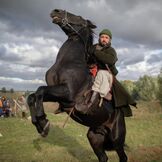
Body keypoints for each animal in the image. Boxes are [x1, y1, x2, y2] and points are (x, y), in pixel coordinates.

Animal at [27, 9, 128, 162]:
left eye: (79, 17)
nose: (56, 11)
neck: (69, 62)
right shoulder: (58, 95)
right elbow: (32, 97)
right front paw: (39, 124)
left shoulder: (68, 93)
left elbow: (40, 91)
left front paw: (43, 122)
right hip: (94, 138)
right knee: (103, 157)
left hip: (116, 140)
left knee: (123, 157)